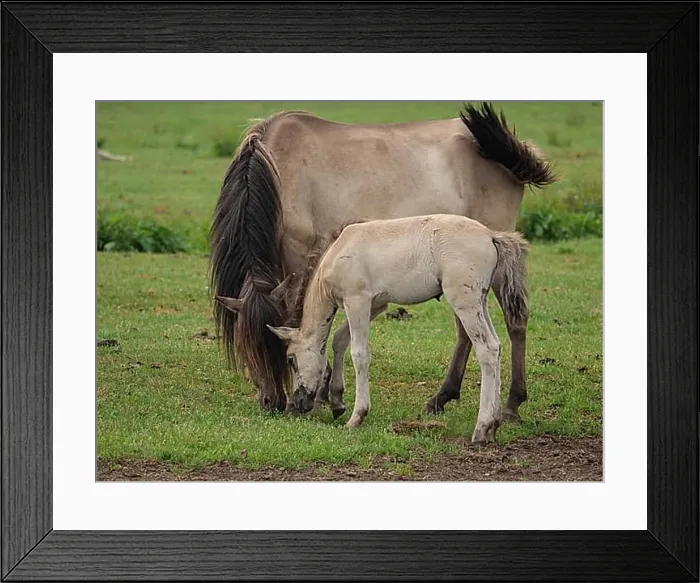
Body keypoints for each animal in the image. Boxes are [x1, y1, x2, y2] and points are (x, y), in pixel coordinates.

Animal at [209, 103, 555, 417]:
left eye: (281, 354)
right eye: (243, 347)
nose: (272, 402)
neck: (279, 169)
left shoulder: (301, 259)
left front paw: (321, 393)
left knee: (513, 322)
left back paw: (510, 404)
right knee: (470, 332)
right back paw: (444, 397)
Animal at [219, 214, 529, 444]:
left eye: (290, 359)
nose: (296, 405)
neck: (338, 252)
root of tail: (491, 235)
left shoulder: (357, 300)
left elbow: (359, 354)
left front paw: (357, 416)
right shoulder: (375, 304)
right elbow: (338, 340)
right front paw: (336, 401)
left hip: (463, 299)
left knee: (486, 349)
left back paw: (482, 427)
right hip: (480, 300)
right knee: (496, 346)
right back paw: (494, 425)